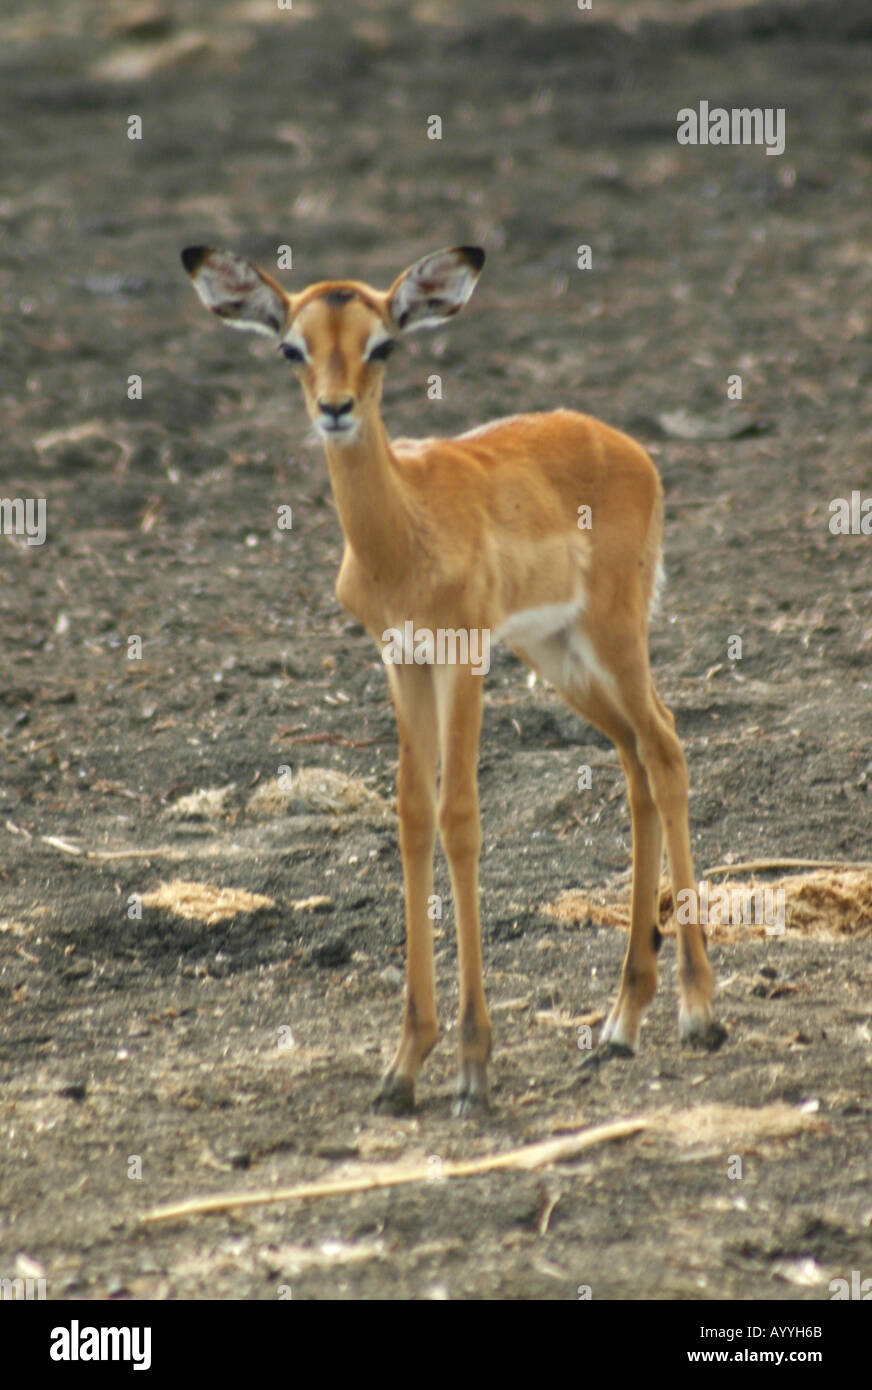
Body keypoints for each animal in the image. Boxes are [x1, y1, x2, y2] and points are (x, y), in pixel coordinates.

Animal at [181, 244, 726, 1115]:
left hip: (612, 637)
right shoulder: (402, 658)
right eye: (292, 348)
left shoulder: (464, 655)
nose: (335, 409)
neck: (404, 534)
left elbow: (460, 818)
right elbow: (411, 817)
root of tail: (626, 446)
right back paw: (620, 1022)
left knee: (668, 750)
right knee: (637, 759)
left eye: (383, 345)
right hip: (560, 656)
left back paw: (699, 1012)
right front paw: (403, 1066)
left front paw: (472, 1065)